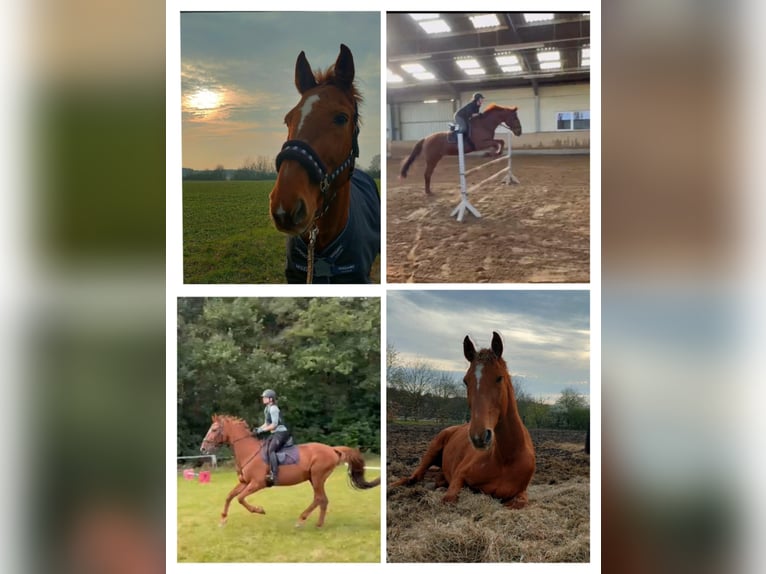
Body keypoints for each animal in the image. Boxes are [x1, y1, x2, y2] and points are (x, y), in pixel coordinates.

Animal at [201, 416, 380, 528]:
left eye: (215, 429)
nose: (203, 448)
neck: (248, 451)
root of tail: (332, 449)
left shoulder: (257, 483)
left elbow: (240, 498)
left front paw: (259, 510)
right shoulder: (244, 482)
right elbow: (230, 496)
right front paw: (222, 520)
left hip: (317, 478)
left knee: (319, 498)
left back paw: (301, 520)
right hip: (314, 479)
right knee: (322, 500)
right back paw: (318, 524)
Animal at [390, 330, 536, 510]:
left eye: (499, 377)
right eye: (466, 381)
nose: (479, 436)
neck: (506, 457)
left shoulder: (521, 493)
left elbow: (518, 502)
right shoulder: (459, 476)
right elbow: (448, 499)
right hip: (432, 450)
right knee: (412, 478)